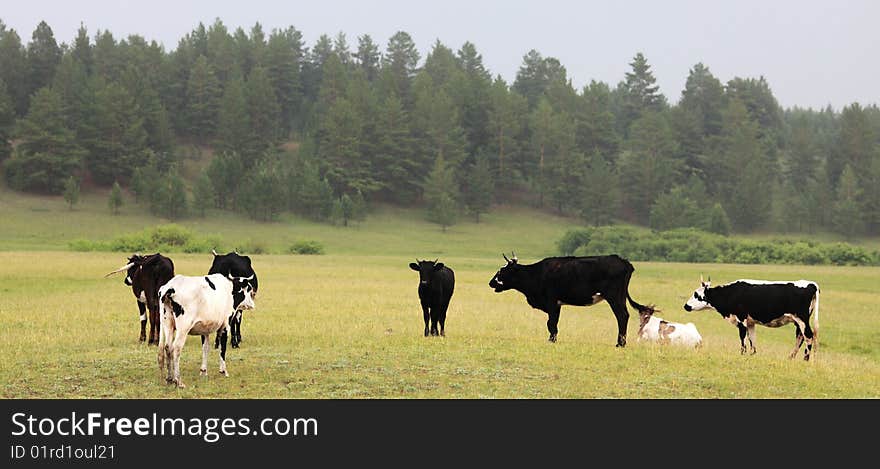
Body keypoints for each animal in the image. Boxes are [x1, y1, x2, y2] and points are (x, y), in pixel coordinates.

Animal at [488, 252, 652, 348]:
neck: (536, 274)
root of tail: (623, 261)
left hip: (614, 297)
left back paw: (620, 344)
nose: (491, 283)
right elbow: (554, 323)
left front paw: (551, 341)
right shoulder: (557, 304)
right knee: (624, 316)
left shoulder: (551, 301)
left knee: (622, 316)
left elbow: (551, 323)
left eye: (502, 270)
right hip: (620, 297)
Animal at [684, 276, 820, 360]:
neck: (731, 294)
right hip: (798, 321)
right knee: (800, 337)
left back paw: (805, 359)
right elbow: (752, 338)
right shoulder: (750, 322)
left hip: (801, 319)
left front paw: (742, 353)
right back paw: (791, 357)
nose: (686, 306)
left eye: (696, 295)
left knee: (808, 336)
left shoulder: (741, 318)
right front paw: (752, 354)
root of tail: (811, 284)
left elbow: (743, 337)